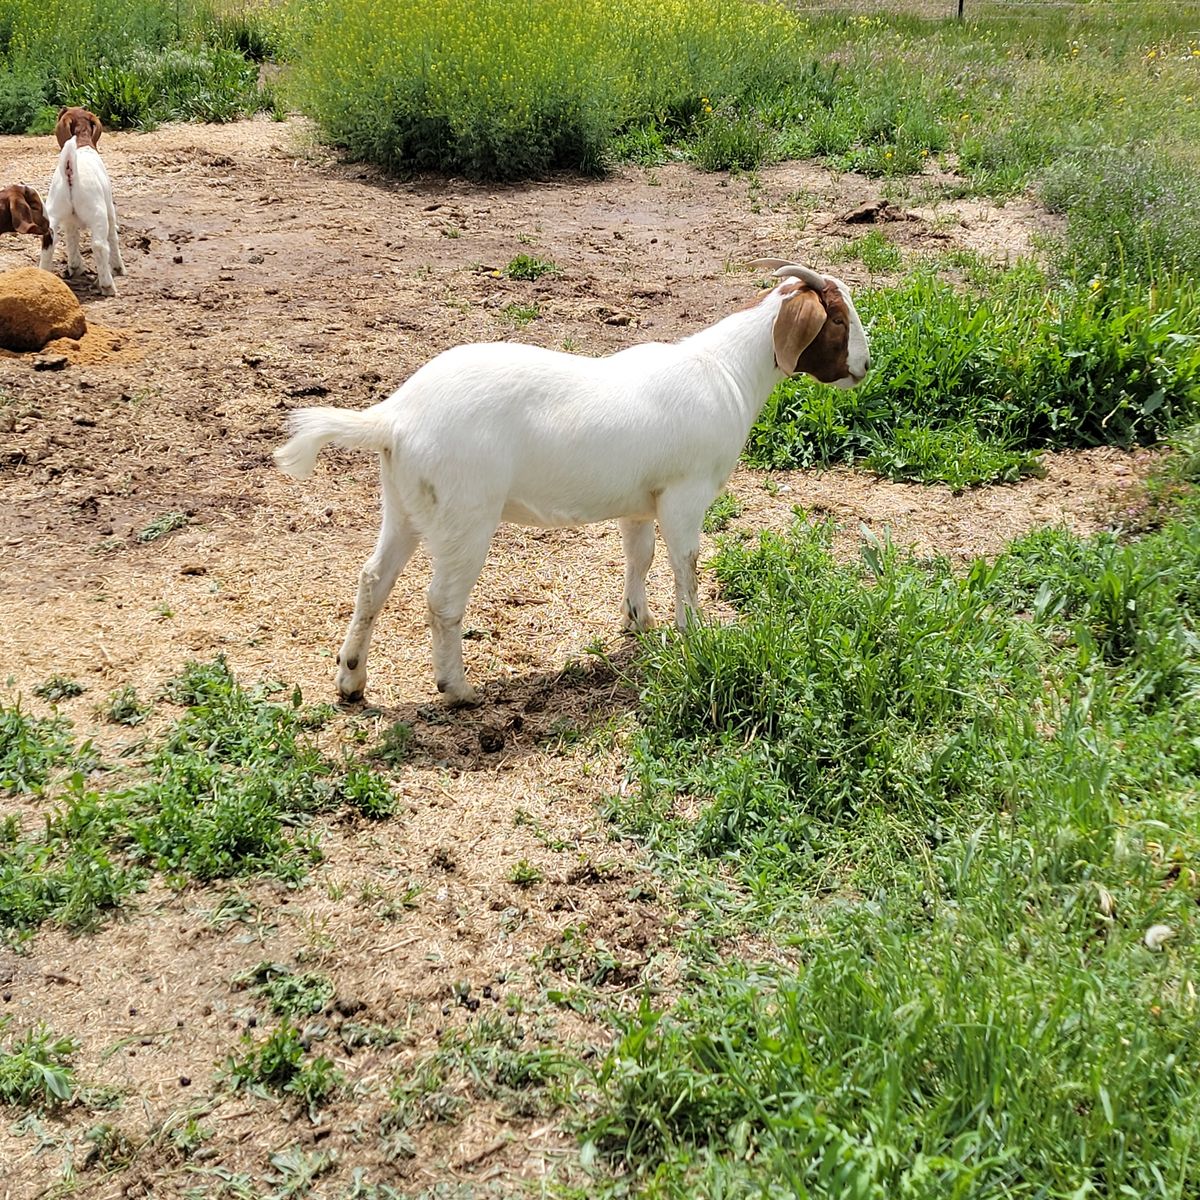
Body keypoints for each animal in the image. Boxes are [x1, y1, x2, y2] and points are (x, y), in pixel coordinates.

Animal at [38, 133, 125, 295]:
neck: (83, 144)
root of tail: (70, 172)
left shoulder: (69, 221)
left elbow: (72, 239)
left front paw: (75, 266)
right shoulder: (109, 209)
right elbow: (113, 236)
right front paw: (119, 268)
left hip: (52, 213)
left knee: (48, 243)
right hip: (98, 213)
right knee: (99, 246)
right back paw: (107, 285)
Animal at [274, 261, 871, 706]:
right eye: (839, 321)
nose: (865, 366)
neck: (728, 371)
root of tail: (394, 417)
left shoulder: (642, 499)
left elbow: (639, 556)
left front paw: (639, 622)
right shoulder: (684, 495)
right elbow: (686, 564)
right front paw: (694, 633)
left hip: (404, 503)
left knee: (373, 579)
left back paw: (351, 678)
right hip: (466, 513)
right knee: (441, 600)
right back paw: (458, 689)